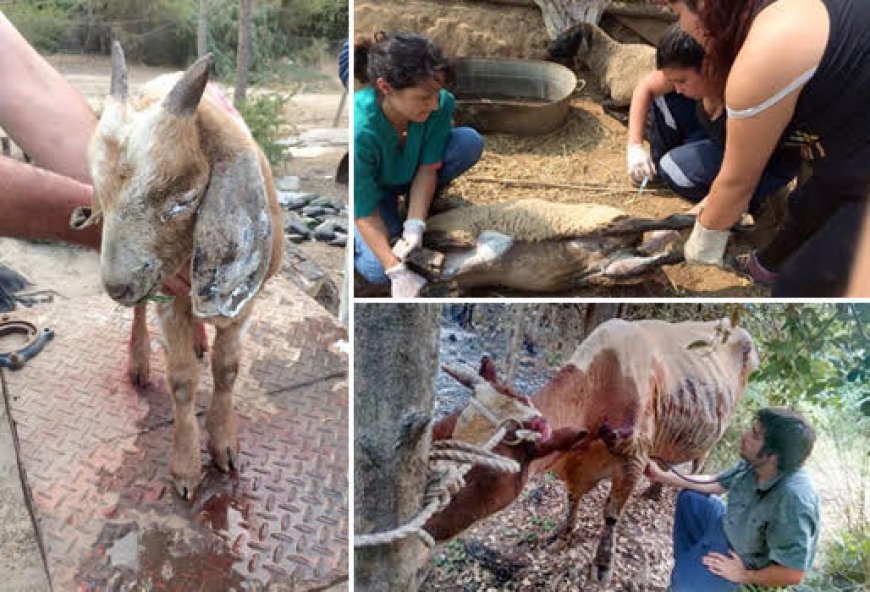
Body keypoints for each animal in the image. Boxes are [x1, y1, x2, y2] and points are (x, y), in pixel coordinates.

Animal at [72, 42, 282, 500]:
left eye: (183, 201)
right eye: (100, 193)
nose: (116, 285)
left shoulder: (244, 302)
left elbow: (227, 369)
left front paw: (224, 447)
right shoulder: (165, 293)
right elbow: (183, 380)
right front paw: (186, 469)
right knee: (141, 315)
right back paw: (139, 362)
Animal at [426, 316, 760, 580]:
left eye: (485, 474)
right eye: (440, 429)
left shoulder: (633, 460)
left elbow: (611, 513)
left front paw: (602, 564)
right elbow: (572, 498)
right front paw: (562, 533)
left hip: (717, 430)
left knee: (699, 462)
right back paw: (654, 490)